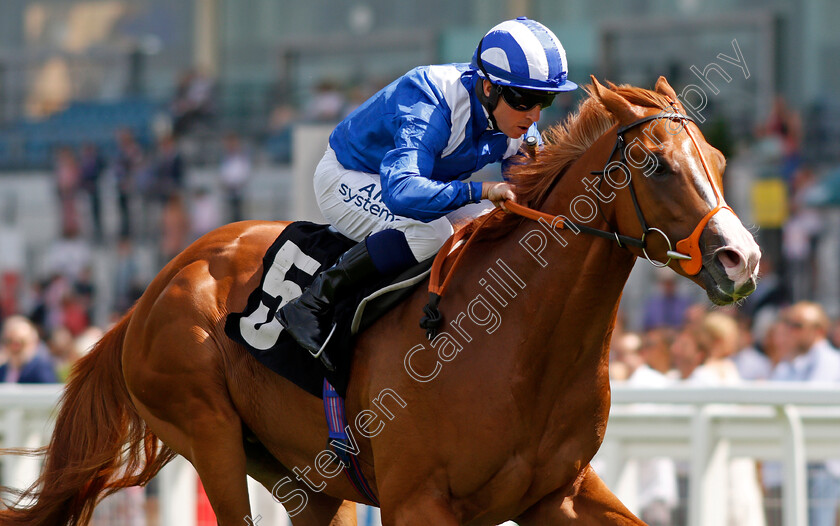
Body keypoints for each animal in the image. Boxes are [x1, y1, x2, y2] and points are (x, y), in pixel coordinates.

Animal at [0, 76, 760, 524]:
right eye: (655, 164)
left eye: (721, 161)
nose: (741, 258)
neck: (520, 345)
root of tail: (155, 287)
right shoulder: (418, 500)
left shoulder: (561, 493)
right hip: (207, 432)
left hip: (304, 477)